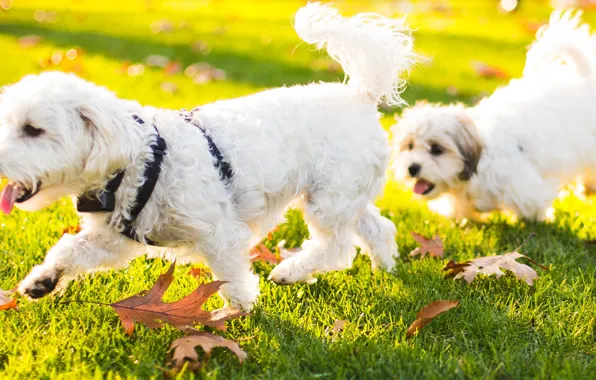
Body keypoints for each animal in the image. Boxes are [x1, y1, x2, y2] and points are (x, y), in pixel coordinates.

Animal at [0, 2, 414, 310]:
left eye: (33, 129)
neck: (139, 162)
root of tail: (360, 95)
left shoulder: (220, 233)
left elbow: (231, 278)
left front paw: (237, 312)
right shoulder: (114, 238)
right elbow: (71, 248)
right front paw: (44, 279)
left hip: (329, 198)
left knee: (338, 247)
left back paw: (291, 271)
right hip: (346, 194)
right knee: (376, 227)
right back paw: (385, 266)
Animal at [392, 9, 596, 220]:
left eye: (436, 149)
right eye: (410, 146)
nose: (412, 167)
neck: (483, 158)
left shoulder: (526, 188)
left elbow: (533, 208)